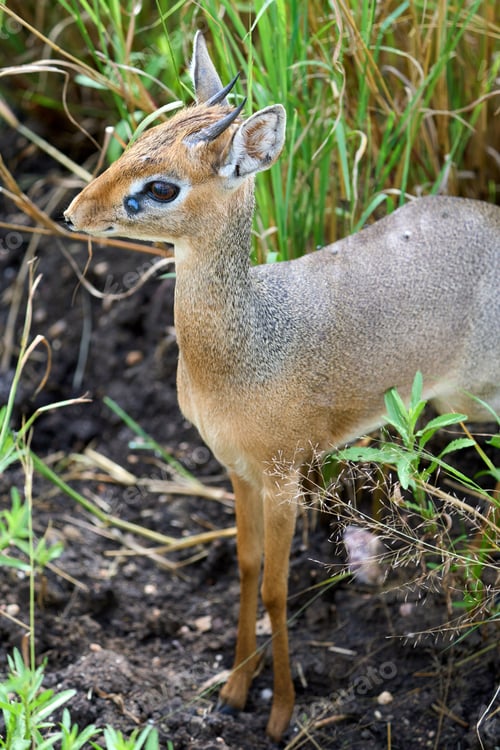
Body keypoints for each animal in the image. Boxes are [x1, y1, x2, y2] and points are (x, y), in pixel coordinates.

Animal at [64, 32, 500, 741]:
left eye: (161, 186)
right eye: (139, 138)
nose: (75, 214)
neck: (244, 350)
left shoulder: (282, 474)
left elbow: (276, 586)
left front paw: (280, 713)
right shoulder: (235, 469)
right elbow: (246, 572)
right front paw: (234, 691)